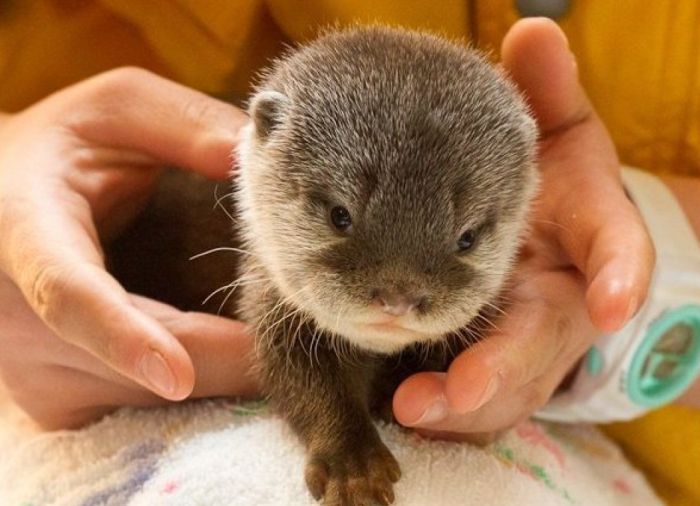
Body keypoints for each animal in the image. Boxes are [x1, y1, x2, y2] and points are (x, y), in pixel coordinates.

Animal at [108, 24, 536, 506]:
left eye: (467, 237)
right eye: (339, 214)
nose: (398, 296)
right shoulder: (271, 311)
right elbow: (309, 388)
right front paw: (354, 469)